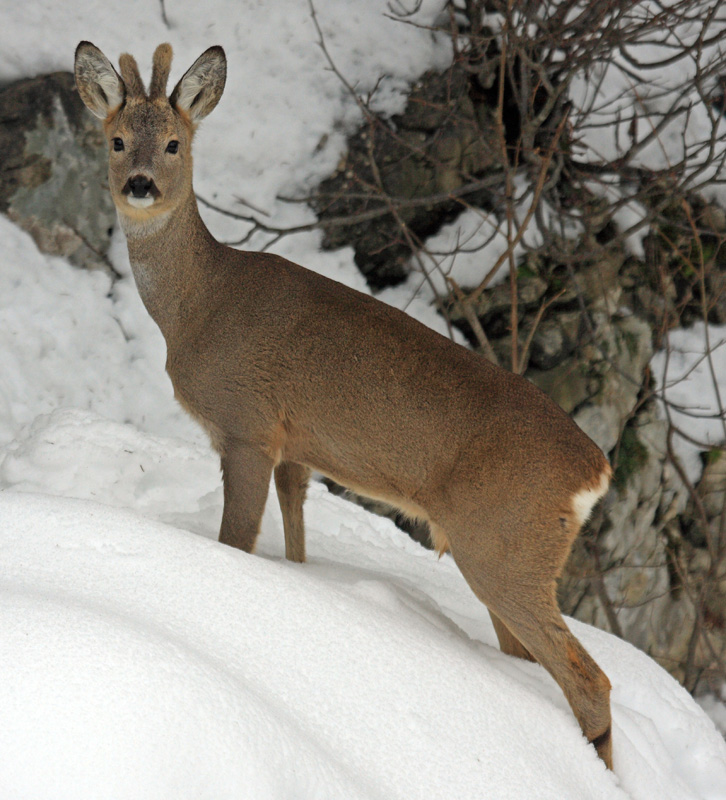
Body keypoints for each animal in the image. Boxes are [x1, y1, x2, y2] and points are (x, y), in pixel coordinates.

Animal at [75, 40, 616, 764]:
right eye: (114, 140)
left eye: (172, 143)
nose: (140, 185)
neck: (198, 306)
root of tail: (594, 470)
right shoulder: (294, 448)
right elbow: (296, 540)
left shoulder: (247, 424)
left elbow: (236, 540)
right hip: (512, 552)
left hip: (503, 545)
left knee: (590, 680)